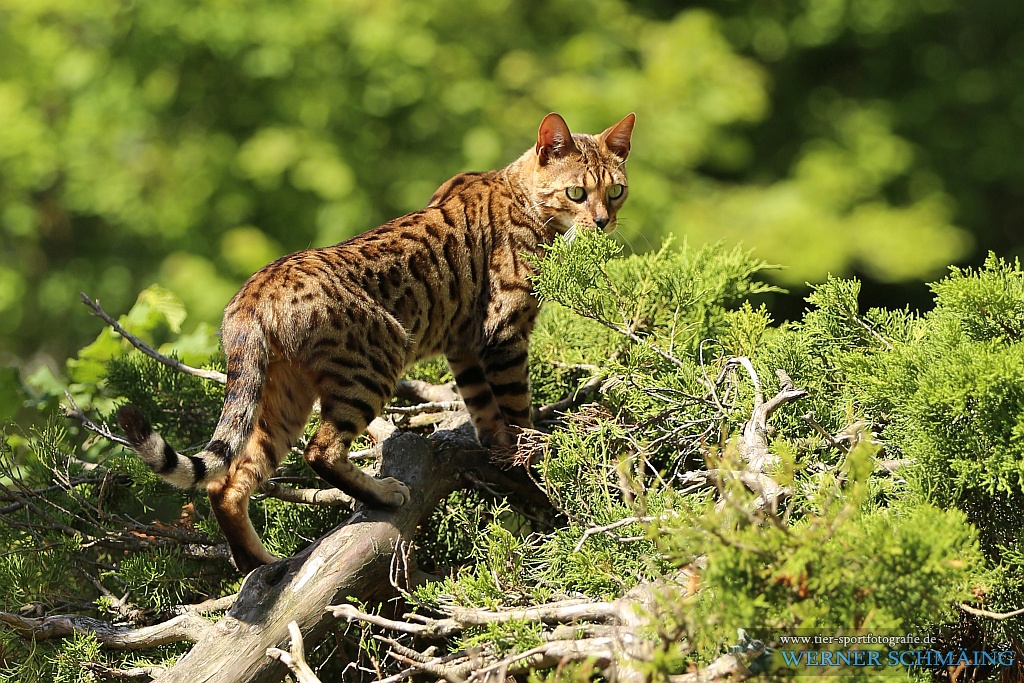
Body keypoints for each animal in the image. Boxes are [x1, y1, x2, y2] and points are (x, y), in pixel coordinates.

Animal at [117, 112, 630, 573]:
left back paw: (257, 564)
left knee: (226, 483)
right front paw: (532, 459)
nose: (604, 221)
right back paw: (382, 493)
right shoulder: (502, 333)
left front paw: (503, 453)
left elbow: (485, 411)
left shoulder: (465, 344)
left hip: (282, 397)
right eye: (577, 192)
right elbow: (517, 410)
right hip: (379, 355)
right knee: (319, 450)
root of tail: (256, 288)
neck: (521, 194)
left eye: (616, 190)